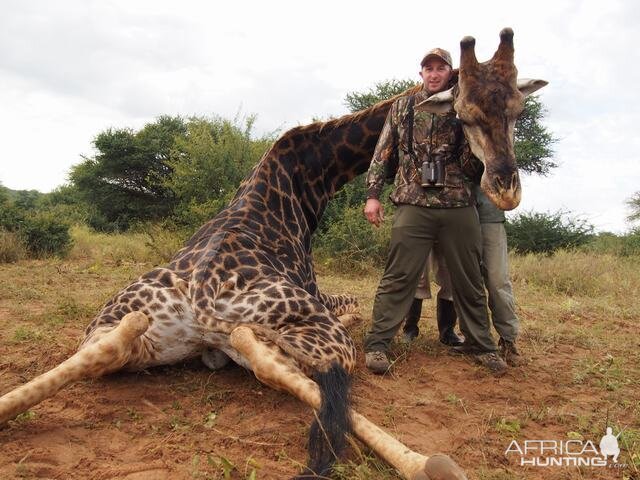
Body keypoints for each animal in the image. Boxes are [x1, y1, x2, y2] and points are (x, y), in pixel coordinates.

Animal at [1, 28, 544, 478]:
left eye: (518, 111)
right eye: (465, 115)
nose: (506, 189)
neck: (307, 180)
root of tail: (199, 303)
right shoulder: (322, 297)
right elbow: (353, 310)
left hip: (133, 335)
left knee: (111, 344)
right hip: (311, 333)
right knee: (275, 357)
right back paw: (428, 463)